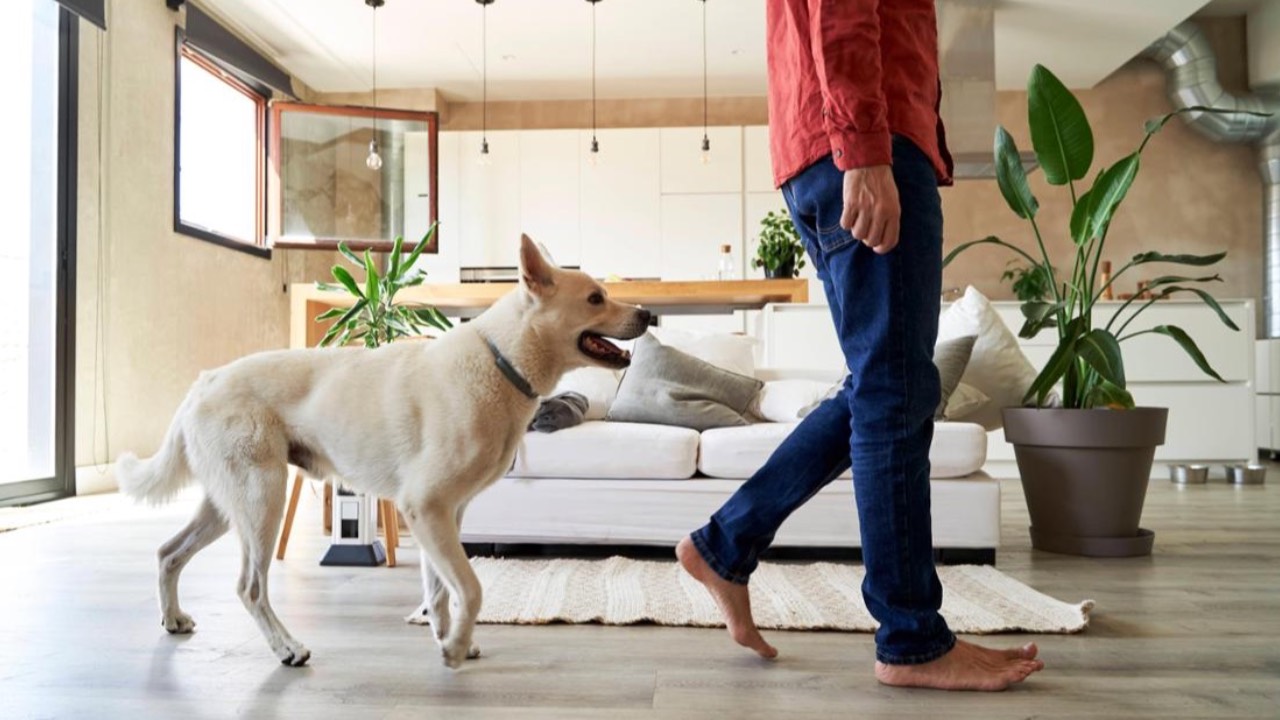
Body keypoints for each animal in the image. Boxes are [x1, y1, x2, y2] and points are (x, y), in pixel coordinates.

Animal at [116, 235, 651, 668]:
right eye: (596, 297)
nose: (648, 314)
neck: (503, 361)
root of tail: (205, 381)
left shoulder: (445, 514)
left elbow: (440, 589)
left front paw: (447, 637)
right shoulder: (426, 507)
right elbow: (471, 588)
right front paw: (454, 649)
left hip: (229, 503)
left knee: (168, 553)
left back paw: (173, 619)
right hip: (261, 498)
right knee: (249, 586)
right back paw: (288, 648)